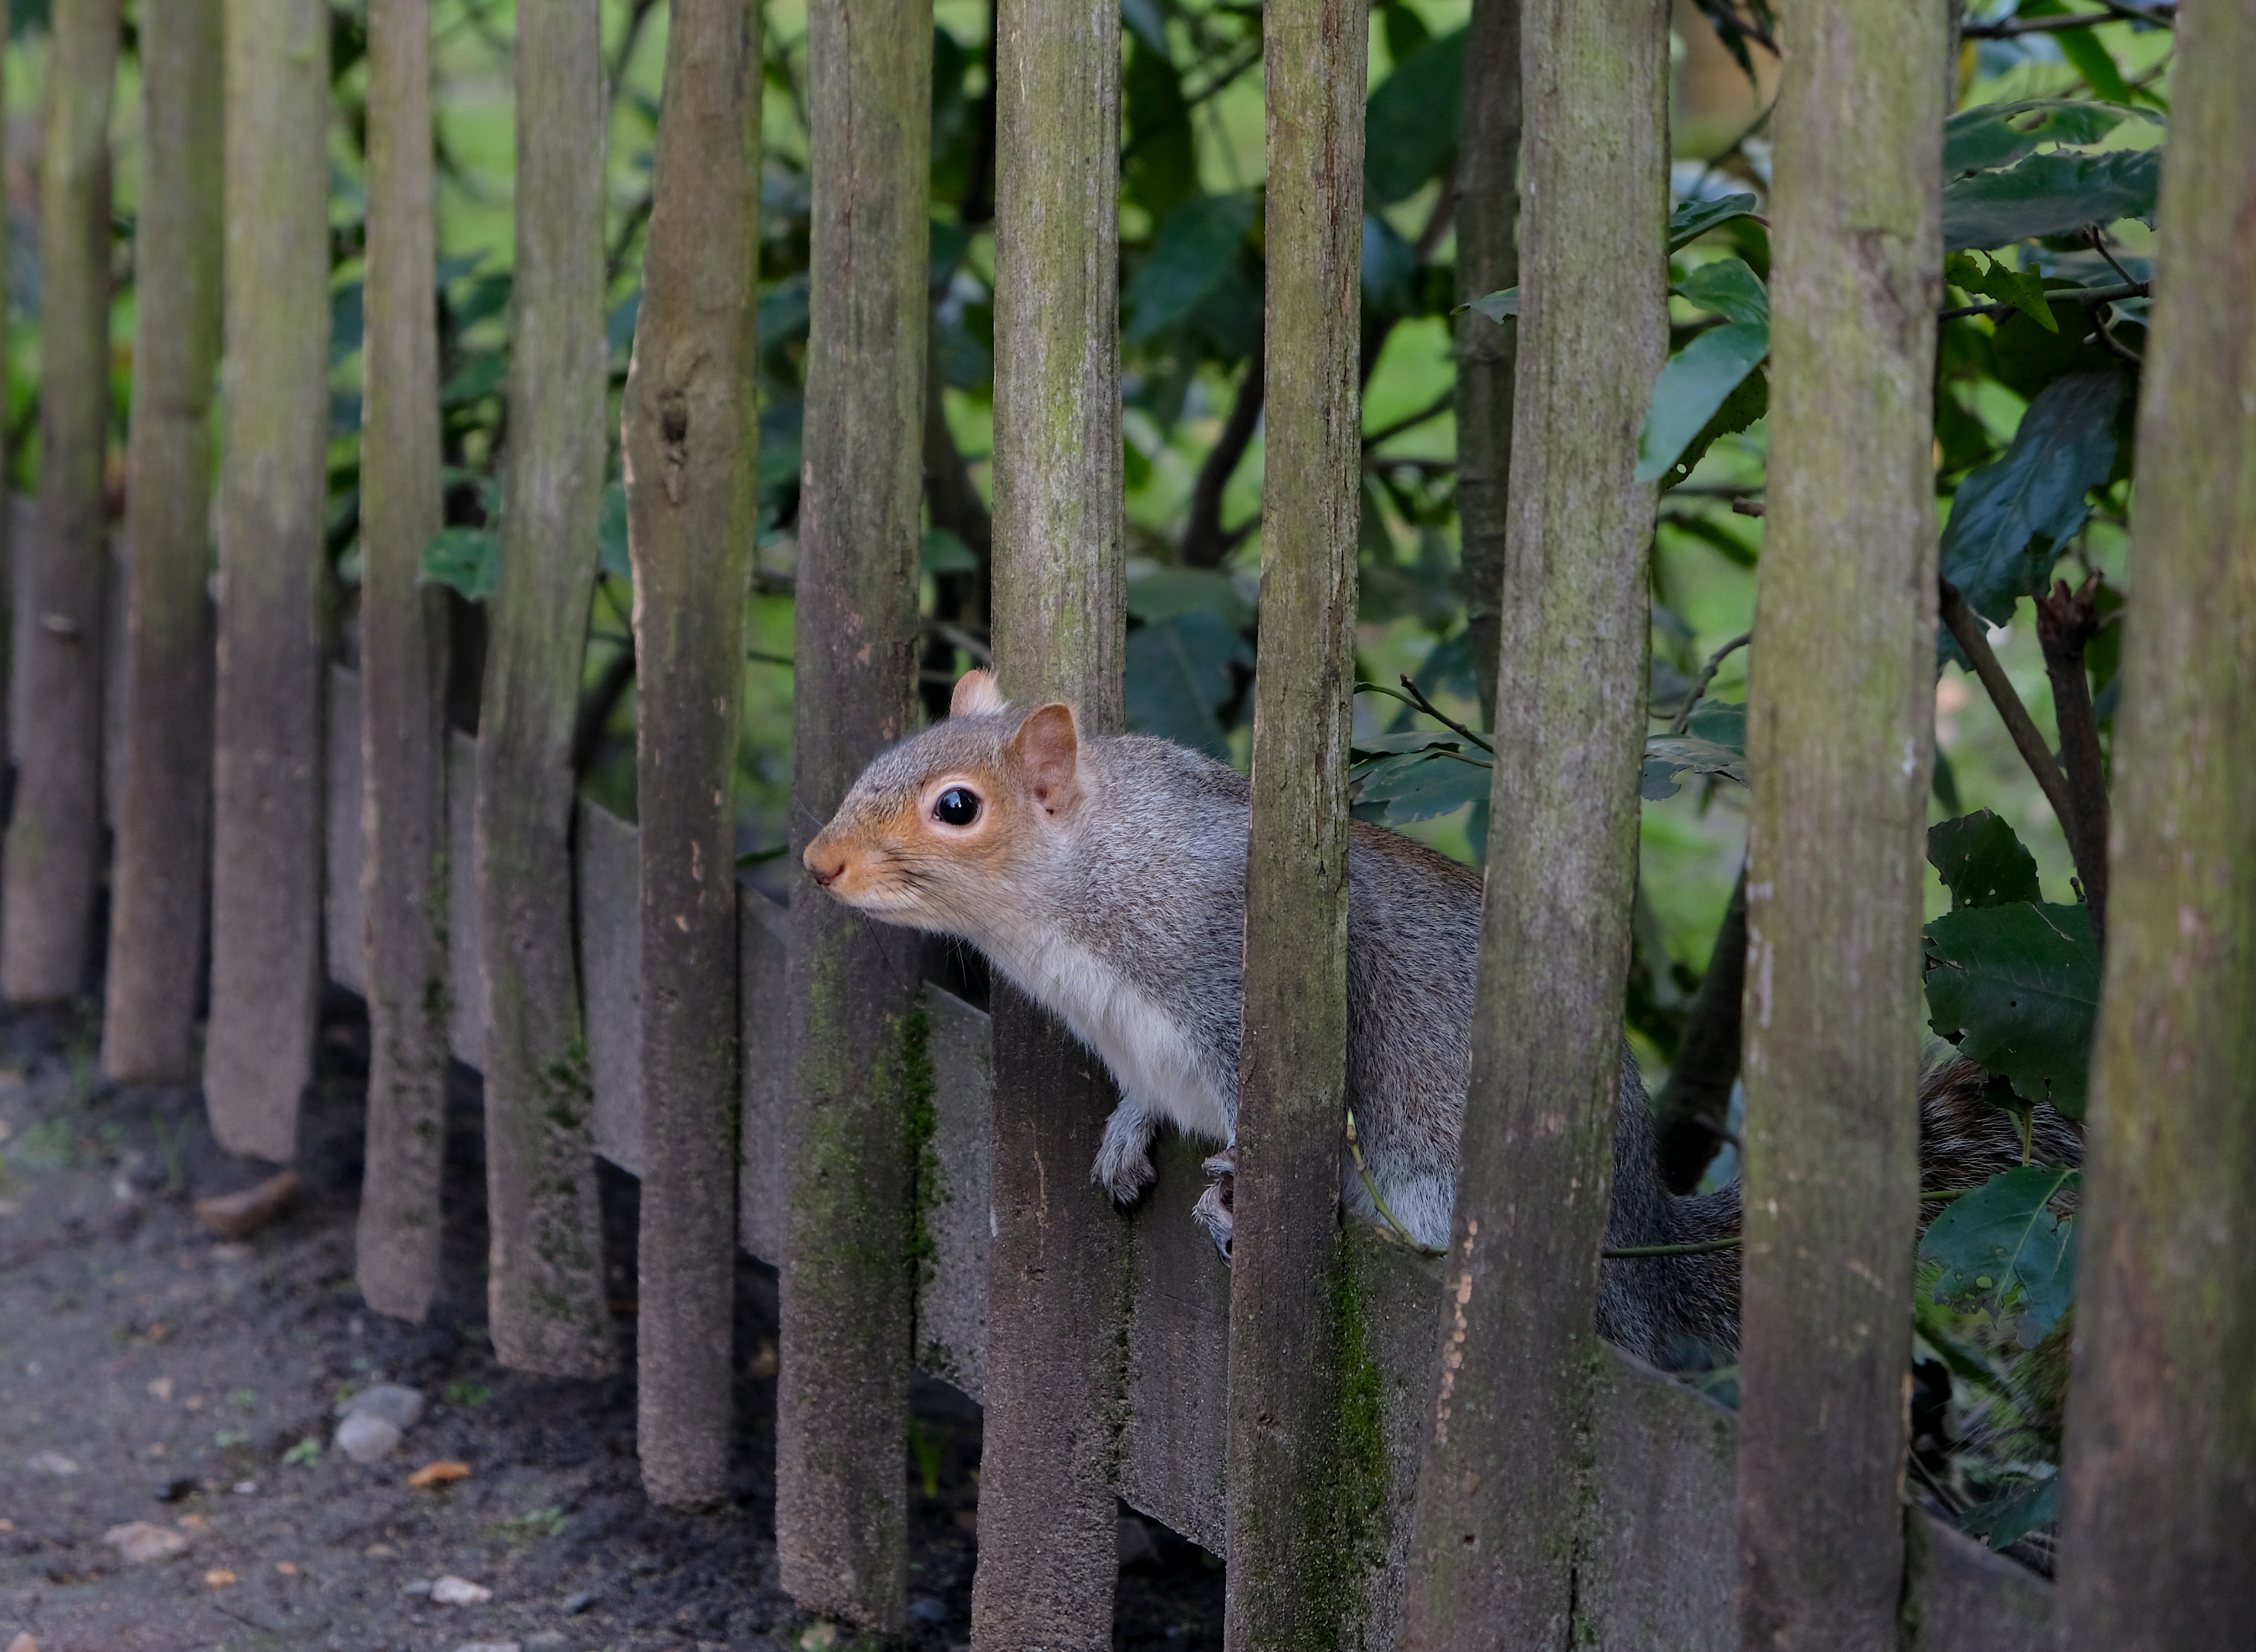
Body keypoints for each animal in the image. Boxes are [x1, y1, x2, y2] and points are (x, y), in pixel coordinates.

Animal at [803, 669, 2081, 1365]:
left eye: (956, 807)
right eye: (880, 758)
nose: (817, 863)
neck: (1075, 909)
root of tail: (1637, 1243)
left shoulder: (1241, 977)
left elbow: (1291, 1113)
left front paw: (1232, 1186)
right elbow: (1141, 1094)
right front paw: (1125, 1135)